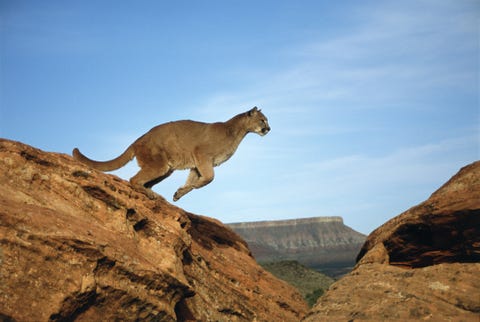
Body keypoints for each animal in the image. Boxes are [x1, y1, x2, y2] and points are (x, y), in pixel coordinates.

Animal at [73, 107, 272, 200]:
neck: (236, 132)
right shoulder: (202, 155)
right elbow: (209, 178)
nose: (269, 129)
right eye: (262, 120)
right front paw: (193, 187)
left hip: (166, 169)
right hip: (159, 164)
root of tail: (137, 139)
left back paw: (155, 194)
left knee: (144, 181)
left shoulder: (196, 164)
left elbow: (194, 181)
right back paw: (150, 195)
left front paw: (180, 192)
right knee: (134, 179)